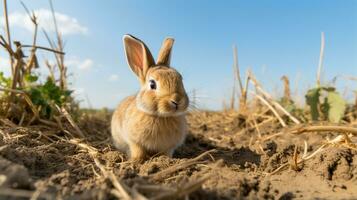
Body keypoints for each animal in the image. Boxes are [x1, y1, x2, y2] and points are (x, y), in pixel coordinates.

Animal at [111, 34, 189, 162]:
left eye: (180, 79)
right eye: (152, 84)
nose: (177, 100)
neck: (161, 117)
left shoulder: (169, 148)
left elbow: (166, 154)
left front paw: (166, 160)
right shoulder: (134, 142)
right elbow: (138, 151)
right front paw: (136, 161)